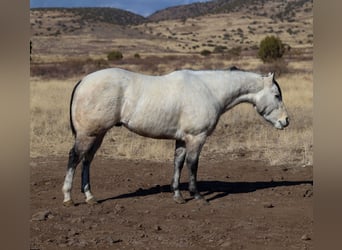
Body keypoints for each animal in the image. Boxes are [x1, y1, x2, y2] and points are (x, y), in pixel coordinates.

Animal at [62, 66, 288, 205]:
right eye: (277, 95)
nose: (286, 121)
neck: (209, 90)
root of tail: (83, 80)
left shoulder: (182, 138)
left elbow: (178, 163)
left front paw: (177, 195)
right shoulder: (197, 137)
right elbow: (192, 164)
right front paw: (197, 195)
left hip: (97, 134)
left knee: (87, 160)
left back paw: (90, 196)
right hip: (88, 134)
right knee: (75, 157)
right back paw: (68, 197)